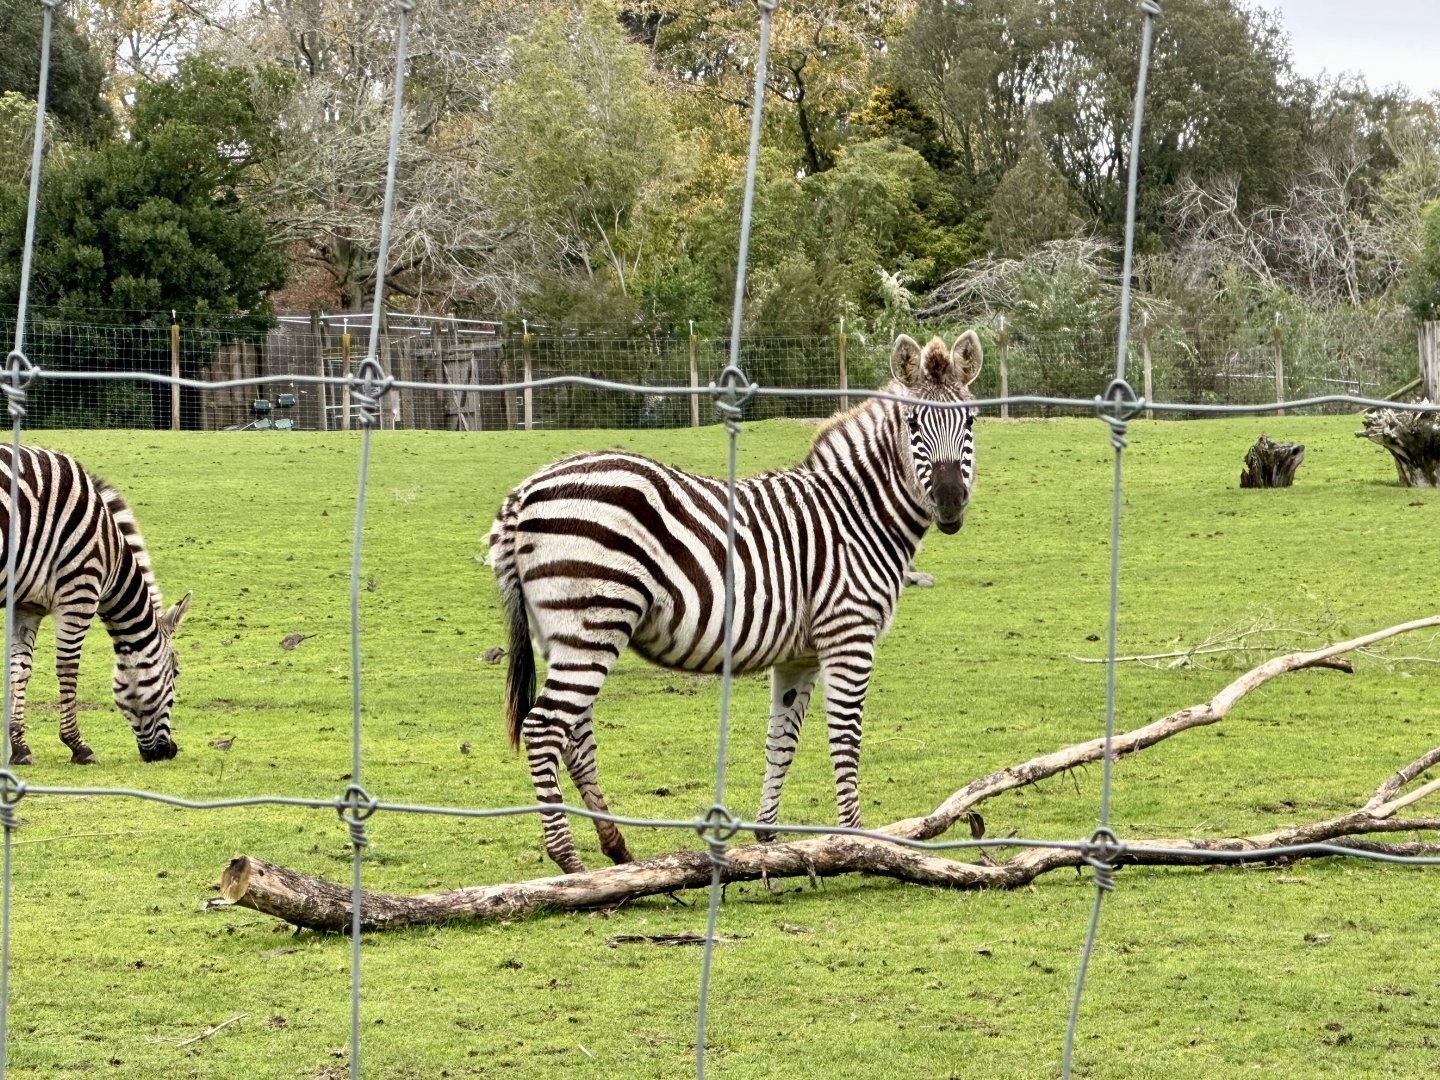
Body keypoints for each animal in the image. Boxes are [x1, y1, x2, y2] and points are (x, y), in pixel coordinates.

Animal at [0, 446, 191, 765]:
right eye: (175, 673)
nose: (169, 752)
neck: (111, 552)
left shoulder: (26, 605)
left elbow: (20, 670)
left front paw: (20, 749)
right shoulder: (79, 592)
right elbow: (67, 667)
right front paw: (78, 746)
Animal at [489, 332, 982, 873]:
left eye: (972, 421)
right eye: (913, 424)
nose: (951, 502)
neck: (856, 514)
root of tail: (524, 492)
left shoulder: (800, 655)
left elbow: (781, 740)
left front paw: (768, 841)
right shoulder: (848, 634)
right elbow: (845, 737)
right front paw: (858, 841)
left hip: (560, 632)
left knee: (575, 736)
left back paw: (615, 847)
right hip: (592, 624)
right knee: (543, 729)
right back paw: (571, 865)